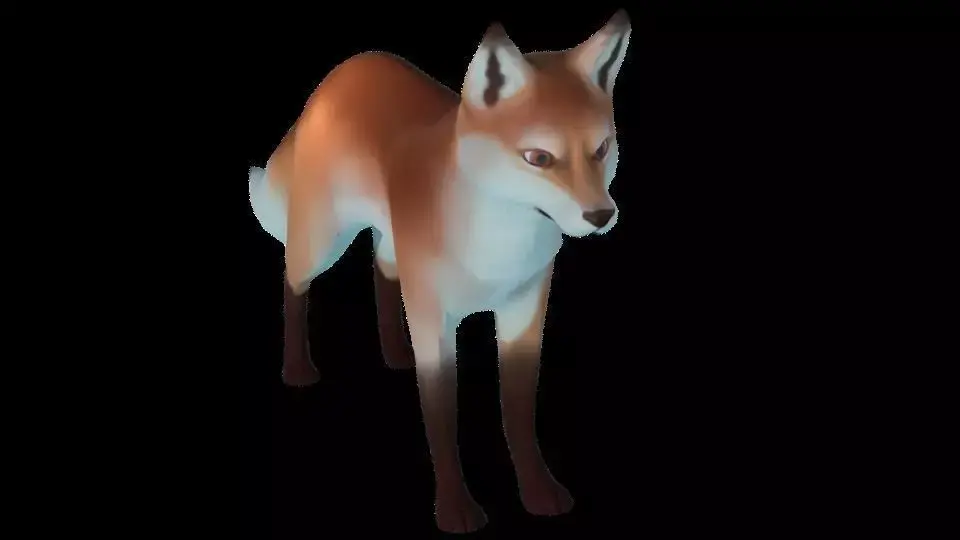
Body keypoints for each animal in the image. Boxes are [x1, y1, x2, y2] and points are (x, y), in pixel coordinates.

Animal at [250, 10, 631, 533]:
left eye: (601, 149)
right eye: (539, 158)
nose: (601, 216)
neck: (496, 251)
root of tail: (351, 66)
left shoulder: (523, 314)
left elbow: (518, 418)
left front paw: (538, 492)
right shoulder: (435, 325)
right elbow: (442, 424)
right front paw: (455, 509)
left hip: (393, 247)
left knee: (381, 272)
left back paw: (395, 353)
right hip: (322, 245)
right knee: (292, 281)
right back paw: (297, 368)